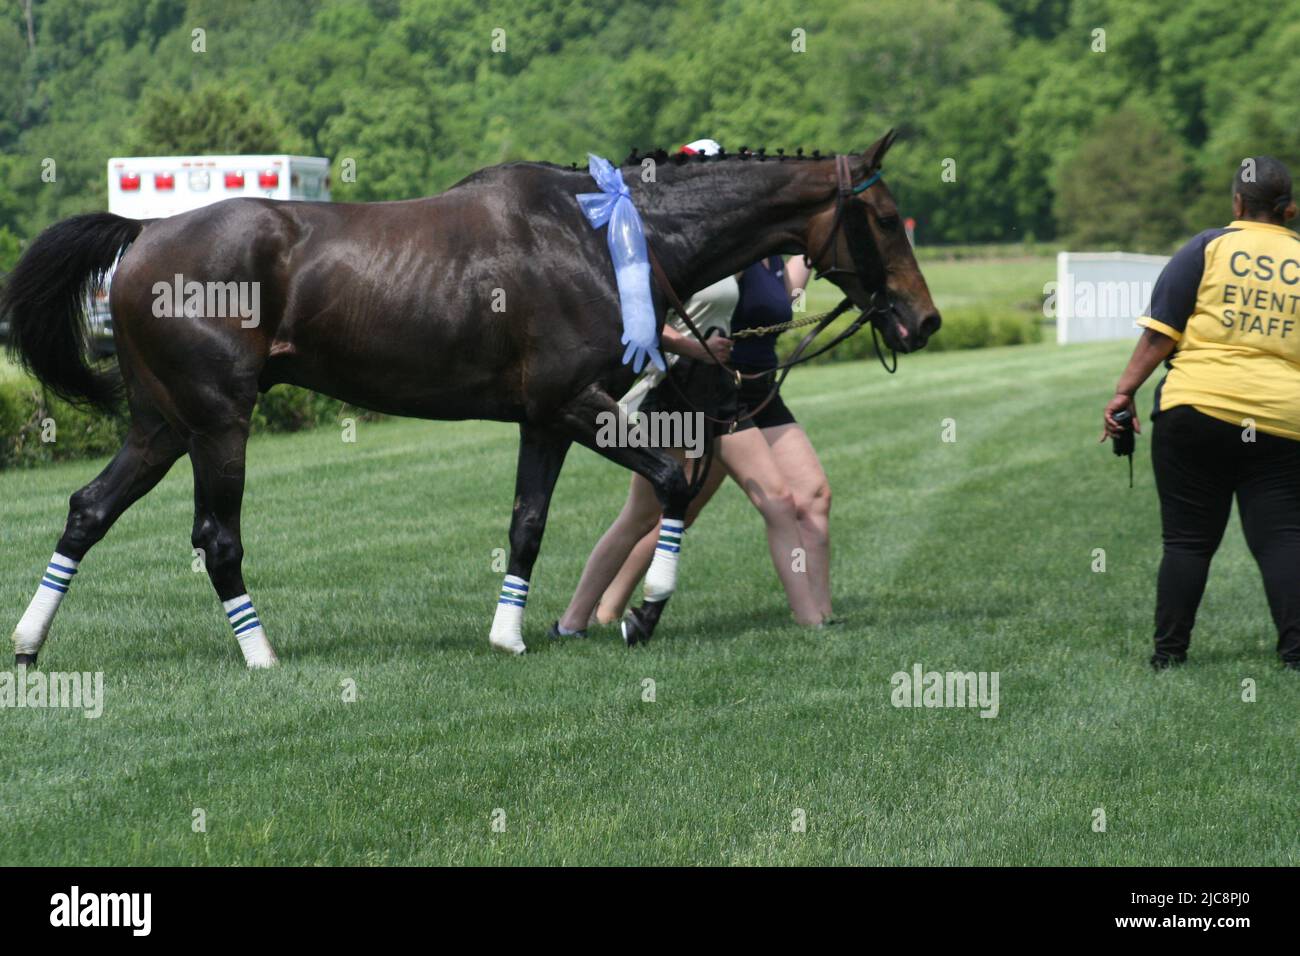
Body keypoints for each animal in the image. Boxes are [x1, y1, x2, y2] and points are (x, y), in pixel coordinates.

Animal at [0, 128, 935, 665]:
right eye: (886, 219)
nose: (922, 319)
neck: (599, 232)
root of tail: (145, 233)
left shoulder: (547, 420)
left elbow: (528, 524)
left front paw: (509, 633)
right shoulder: (576, 403)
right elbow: (674, 478)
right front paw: (643, 614)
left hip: (161, 424)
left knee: (87, 510)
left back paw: (30, 645)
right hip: (219, 422)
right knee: (215, 538)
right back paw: (261, 656)